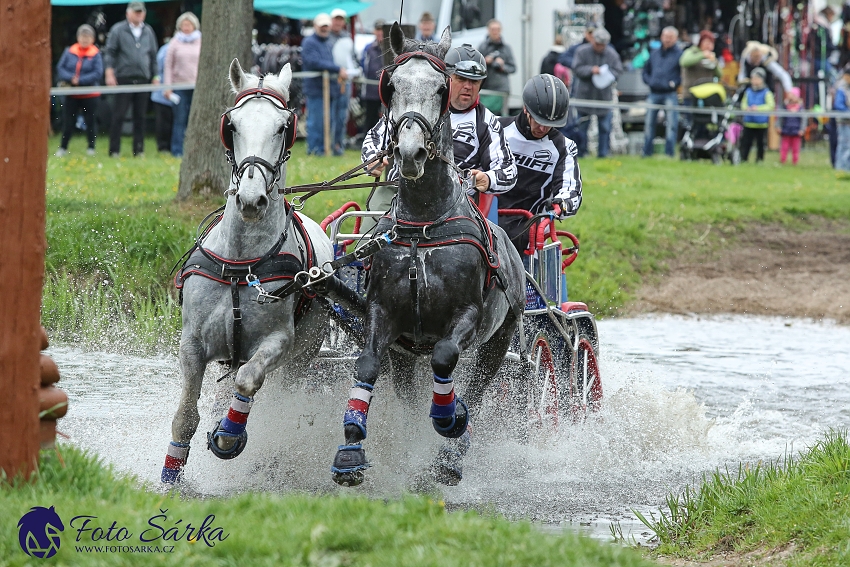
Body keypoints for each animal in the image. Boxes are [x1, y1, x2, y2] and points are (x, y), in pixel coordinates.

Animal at [161, 58, 332, 484]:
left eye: (284, 127)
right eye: (232, 125)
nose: (251, 200)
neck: (242, 265)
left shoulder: (279, 342)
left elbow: (248, 380)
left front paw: (228, 434)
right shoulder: (192, 344)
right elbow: (185, 417)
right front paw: (170, 477)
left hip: (302, 360)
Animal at [330, 24, 524, 488]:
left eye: (441, 87)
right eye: (392, 85)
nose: (410, 152)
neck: (423, 224)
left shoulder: (467, 317)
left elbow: (445, 358)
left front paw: (449, 422)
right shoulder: (383, 314)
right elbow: (366, 365)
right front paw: (350, 450)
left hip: (500, 338)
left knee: (475, 389)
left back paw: (451, 452)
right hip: (406, 356)